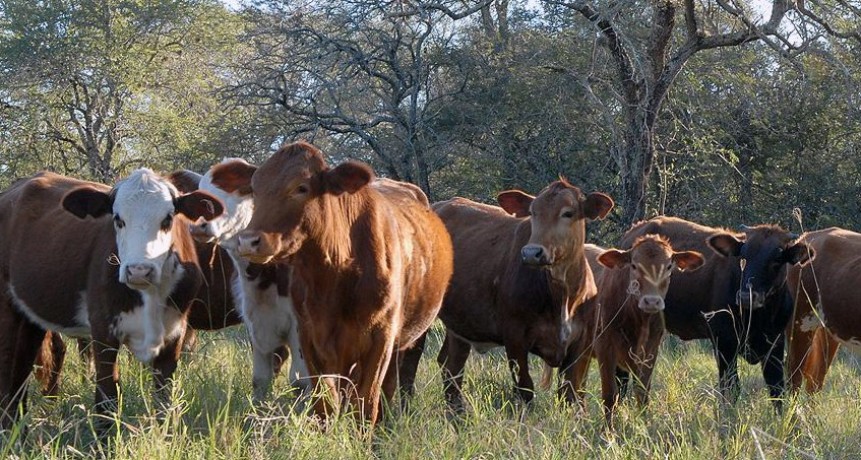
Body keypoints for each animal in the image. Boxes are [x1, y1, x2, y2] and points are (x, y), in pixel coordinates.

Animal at [0, 169, 222, 432]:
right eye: (118, 219)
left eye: (168, 219)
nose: (139, 270)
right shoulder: (103, 330)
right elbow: (107, 398)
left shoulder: (175, 333)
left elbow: (164, 400)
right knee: (7, 369)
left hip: (30, 317)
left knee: (22, 371)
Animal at [232, 141, 454, 428]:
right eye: (255, 188)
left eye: (301, 187)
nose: (249, 241)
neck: (332, 276)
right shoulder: (309, 337)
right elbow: (324, 405)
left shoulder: (381, 339)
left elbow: (366, 404)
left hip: (409, 340)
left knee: (389, 388)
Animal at [588, 235, 704, 426]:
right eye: (634, 265)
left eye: (669, 266)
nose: (652, 301)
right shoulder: (604, 347)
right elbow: (610, 395)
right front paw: (609, 430)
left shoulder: (650, 352)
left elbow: (642, 393)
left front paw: (644, 424)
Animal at [620, 217, 812, 406]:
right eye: (743, 257)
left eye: (777, 260)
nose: (746, 297)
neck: (759, 317)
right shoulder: (724, 343)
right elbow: (731, 389)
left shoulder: (775, 345)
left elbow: (777, 390)